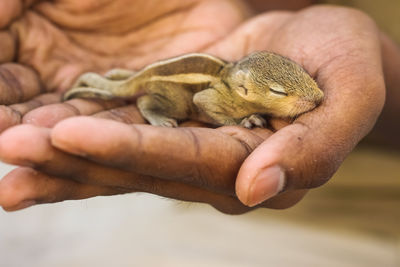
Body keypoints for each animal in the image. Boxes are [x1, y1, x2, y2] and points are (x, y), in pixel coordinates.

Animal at [64, 52, 324, 129]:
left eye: (299, 68)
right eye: (278, 92)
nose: (320, 98)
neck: (227, 77)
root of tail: (144, 74)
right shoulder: (209, 97)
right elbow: (204, 101)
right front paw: (245, 121)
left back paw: (114, 73)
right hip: (175, 101)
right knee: (143, 102)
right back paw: (160, 119)